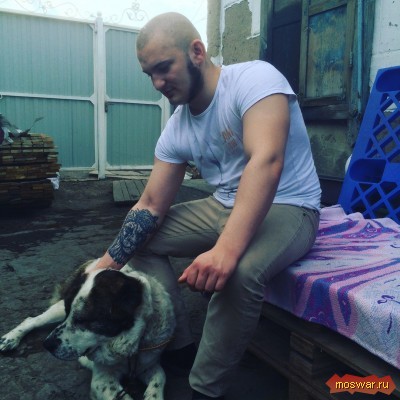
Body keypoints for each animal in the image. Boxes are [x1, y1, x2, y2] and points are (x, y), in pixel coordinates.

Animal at [0, 259, 176, 400]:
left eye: (82, 320)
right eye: (70, 313)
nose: (47, 345)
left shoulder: (147, 363)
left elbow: (161, 377)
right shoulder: (102, 380)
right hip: (57, 310)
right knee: (32, 320)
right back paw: (10, 339)